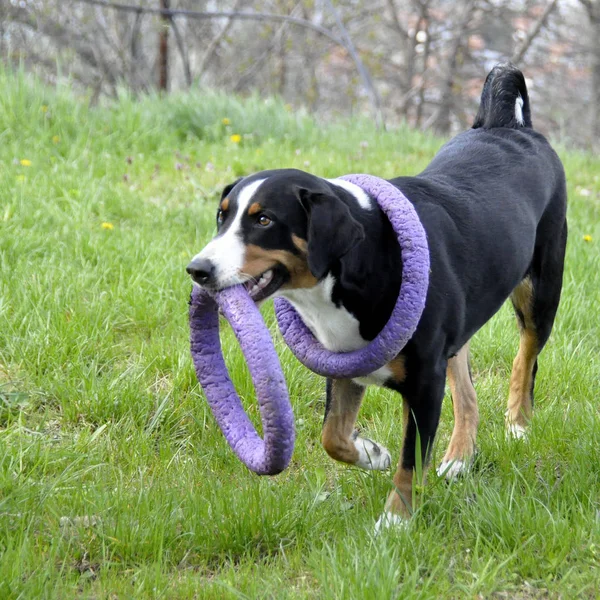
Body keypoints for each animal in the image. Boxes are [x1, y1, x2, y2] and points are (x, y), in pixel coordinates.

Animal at [186, 63, 568, 528]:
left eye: (263, 220)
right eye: (221, 216)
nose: (198, 269)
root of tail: (510, 128)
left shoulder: (424, 382)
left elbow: (410, 460)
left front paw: (396, 521)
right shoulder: (344, 365)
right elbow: (333, 436)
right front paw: (372, 453)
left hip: (540, 292)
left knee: (526, 359)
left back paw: (517, 424)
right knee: (468, 393)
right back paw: (460, 457)